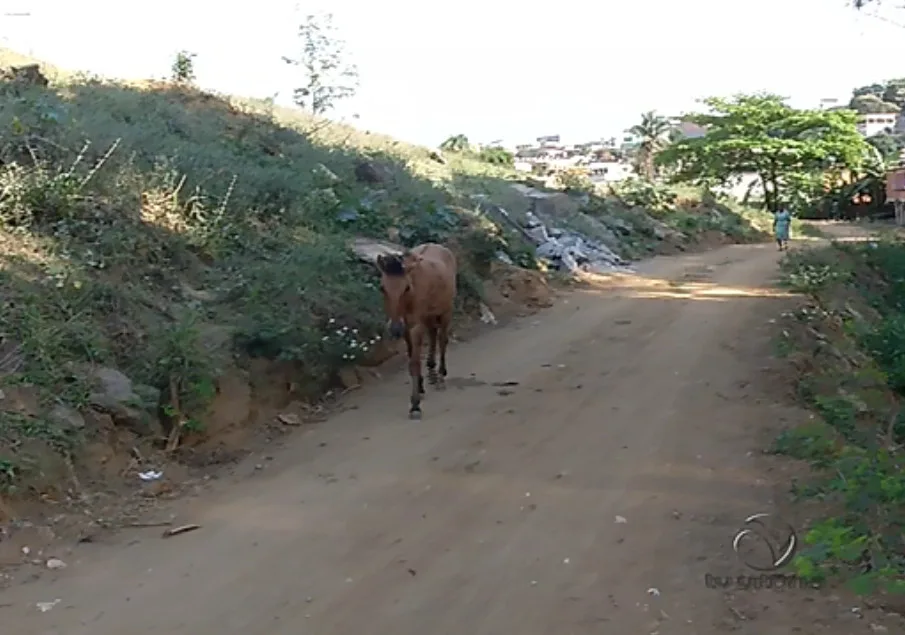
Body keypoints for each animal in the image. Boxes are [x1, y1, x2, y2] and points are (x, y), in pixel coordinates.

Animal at [376, 242, 456, 418]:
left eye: (406, 288)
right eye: (382, 288)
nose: (395, 328)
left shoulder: (415, 327)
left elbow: (414, 362)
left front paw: (415, 405)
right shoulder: (407, 329)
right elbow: (411, 356)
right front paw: (420, 386)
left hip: (446, 311)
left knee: (442, 340)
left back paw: (441, 375)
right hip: (429, 316)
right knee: (433, 335)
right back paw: (432, 372)